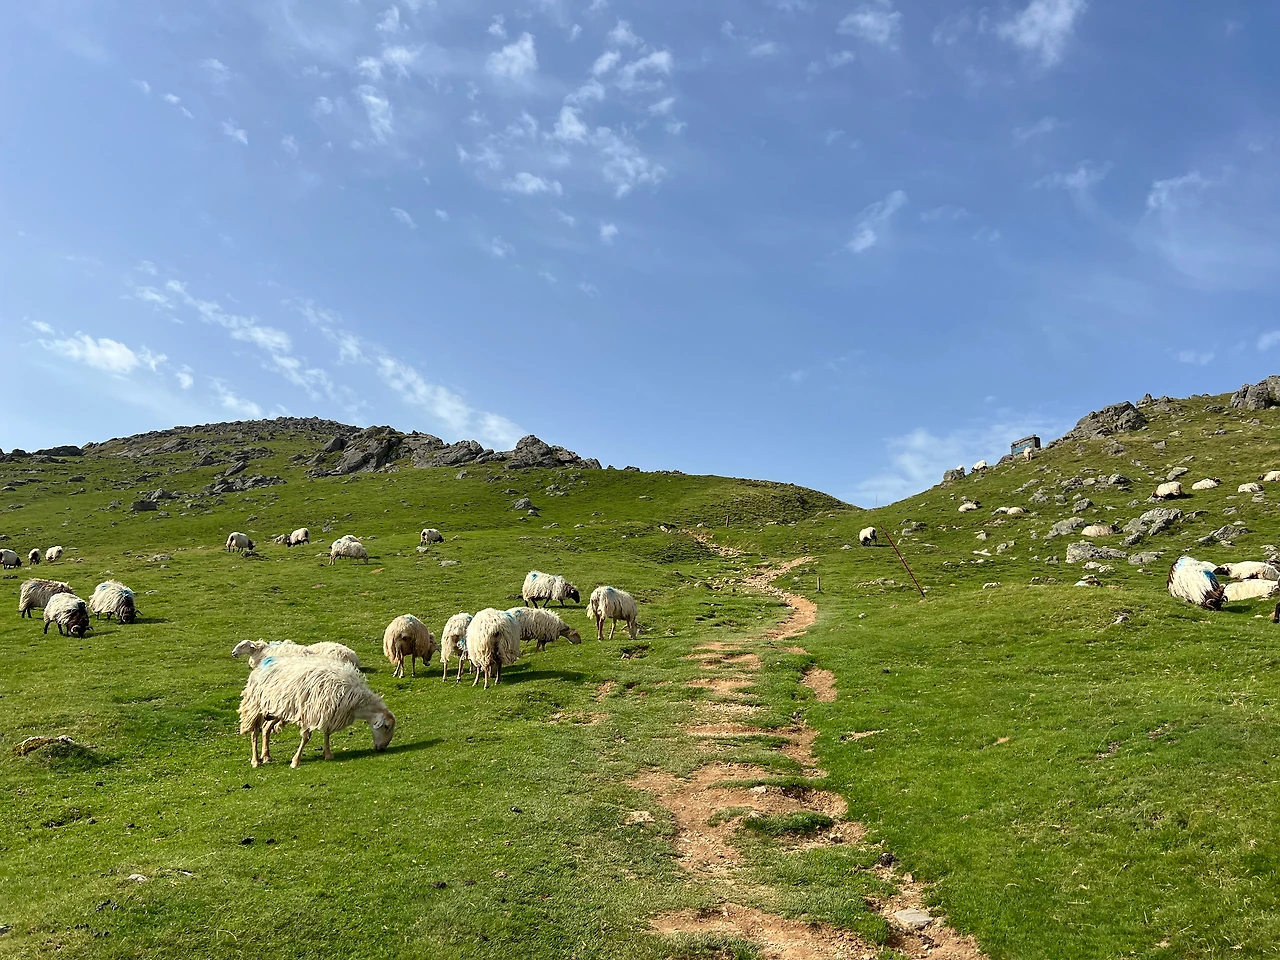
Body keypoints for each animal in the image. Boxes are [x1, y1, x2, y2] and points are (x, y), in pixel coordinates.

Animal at [237, 657, 395, 768]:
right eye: (386, 726)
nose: (382, 748)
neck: (356, 703)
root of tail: (259, 668)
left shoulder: (328, 712)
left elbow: (327, 733)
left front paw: (328, 754)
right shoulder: (311, 712)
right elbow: (306, 737)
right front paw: (295, 761)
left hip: (278, 709)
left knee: (266, 728)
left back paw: (267, 756)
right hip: (256, 706)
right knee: (255, 732)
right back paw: (256, 761)